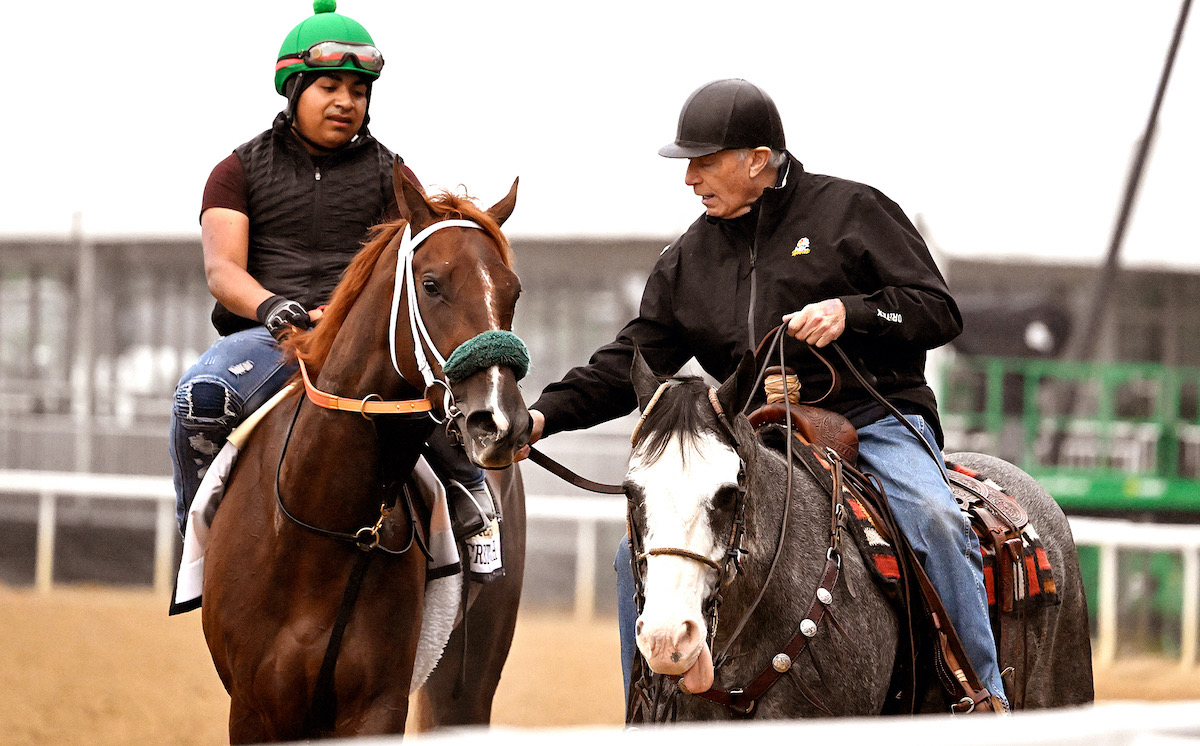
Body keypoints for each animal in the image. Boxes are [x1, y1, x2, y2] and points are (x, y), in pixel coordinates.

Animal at [201, 163, 530, 743]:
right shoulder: (254, 708)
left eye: (511, 292)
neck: (320, 526)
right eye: (431, 284)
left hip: (471, 672)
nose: (502, 422)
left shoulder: (376, 704)